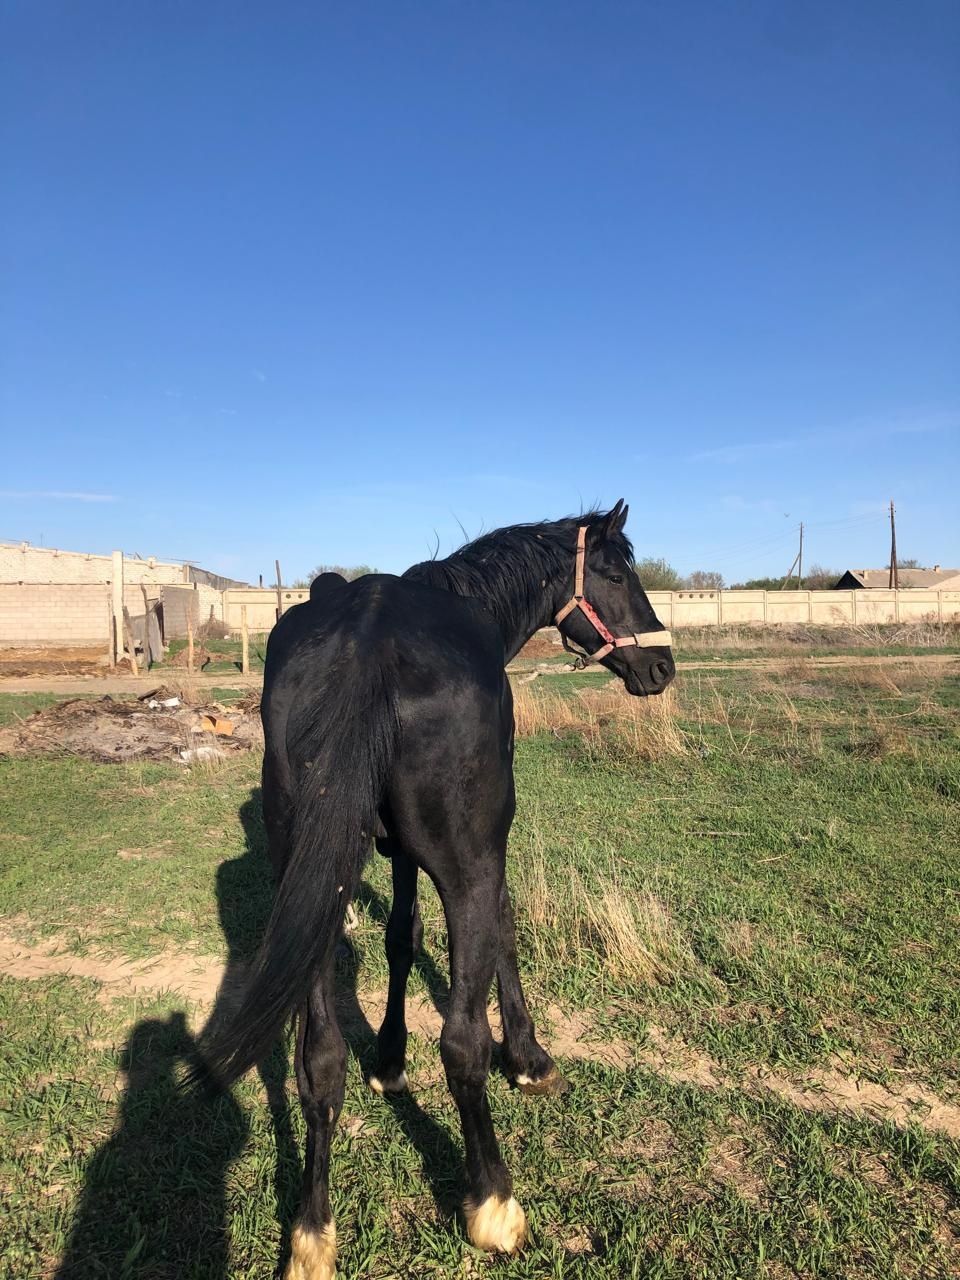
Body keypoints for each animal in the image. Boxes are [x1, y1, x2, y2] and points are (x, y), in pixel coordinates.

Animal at [195, 501, 675, 1280]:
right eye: (613, 572)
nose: (662, 667)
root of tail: (367, 639)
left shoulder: (393, 854)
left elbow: (400, 938)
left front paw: (389, 1061)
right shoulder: (482, 855)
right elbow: (502, 930)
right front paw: (529, 1058)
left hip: (313, 890)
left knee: (317, 1061)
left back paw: (311, 1233)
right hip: (465, 864)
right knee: (460, 1043)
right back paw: (494, 1203)